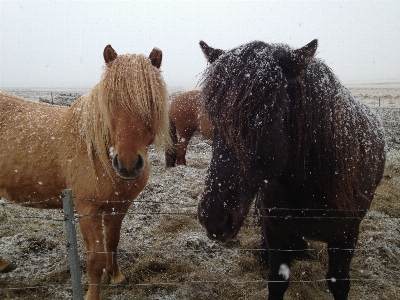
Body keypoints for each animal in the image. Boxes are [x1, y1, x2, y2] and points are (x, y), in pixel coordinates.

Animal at [0, 45, 170, 300]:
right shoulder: (87, 210)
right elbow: (95, 259)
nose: (128, 165)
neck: (98, 153)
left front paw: (116, 276)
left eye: (150, 100)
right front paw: (93, 294)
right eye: (110, 100)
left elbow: (113, 242)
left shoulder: (118, 207)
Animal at [198, 39, 386, 300]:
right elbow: (277, 280)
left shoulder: (346, 237)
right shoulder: (276, 231)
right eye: (214, 119)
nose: (214, 219)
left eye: (271, 118)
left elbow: (339, 283)